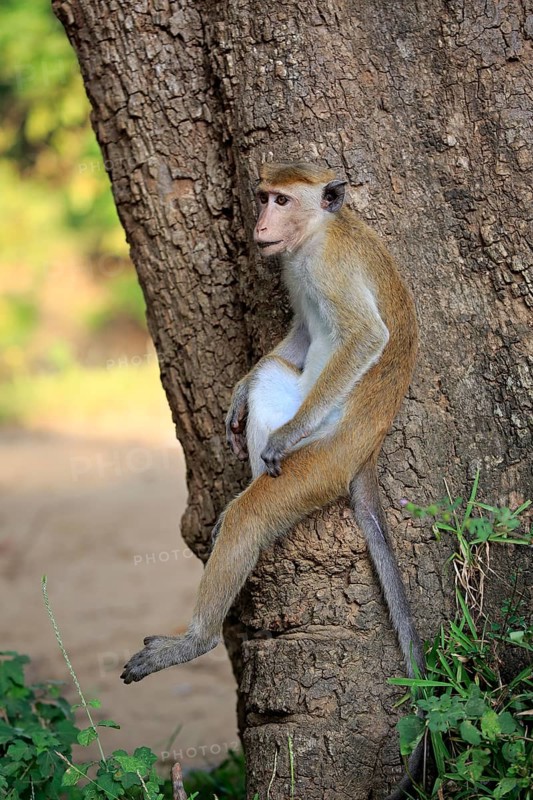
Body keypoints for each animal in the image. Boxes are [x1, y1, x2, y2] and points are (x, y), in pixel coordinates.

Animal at [121, 161, 425, 798]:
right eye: (263, 197)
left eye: (281, 200)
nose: (260, 222)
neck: (316, 232)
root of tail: (363, 455)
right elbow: (303, 335)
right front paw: (239, 392)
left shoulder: (328, 266)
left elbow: (364, 337)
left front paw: (277, 440)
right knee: (273, 382)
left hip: (322, 462)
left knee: (257, 513)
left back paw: (196, 637)